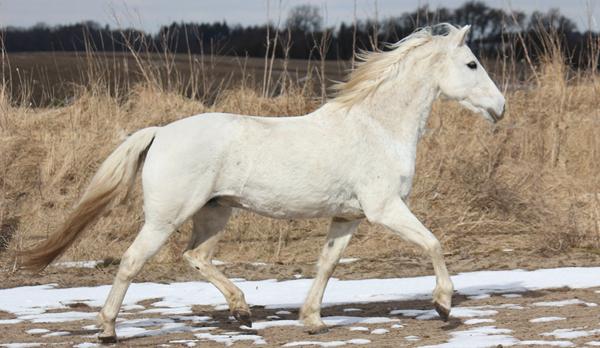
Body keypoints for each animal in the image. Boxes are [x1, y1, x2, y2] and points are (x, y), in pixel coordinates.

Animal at [18, 25, 504, 342]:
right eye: (471, 63)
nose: (500, 108)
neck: (377, 127)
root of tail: (160, 132)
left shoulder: (347, 217)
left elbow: (326, 264)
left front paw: (312, 320)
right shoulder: (385, 208)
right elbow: (433, 244)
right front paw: (443, 305)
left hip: (215, 212)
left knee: (195, 257)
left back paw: (242, 312)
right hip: (165, 217)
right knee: (132, 261)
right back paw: (107, 329)